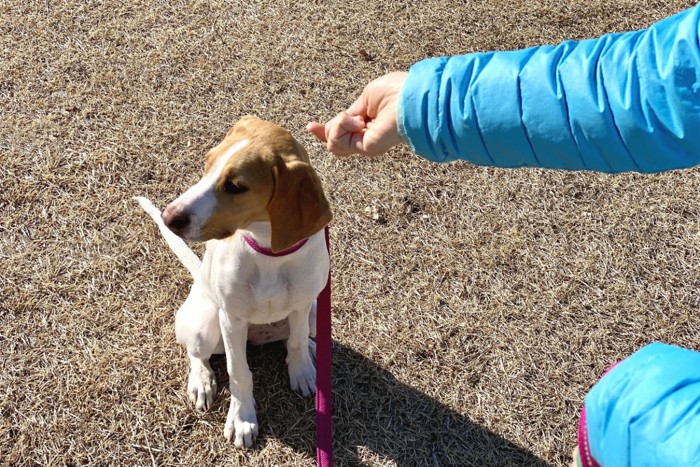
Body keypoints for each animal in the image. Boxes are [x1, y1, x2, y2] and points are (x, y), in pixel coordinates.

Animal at [139, 115, 334, 448]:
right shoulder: (232, 318)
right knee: (197, 355)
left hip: (314, 313)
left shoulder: (301, 305)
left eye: (236, 186)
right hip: (204, 324)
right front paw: (242, 419)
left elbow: (294, 342)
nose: (168, 217)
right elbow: (239, 372)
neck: (267, 251)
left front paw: (302, 371)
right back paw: (202, 382)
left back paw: (309, 351)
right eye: (207, 163)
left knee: (296, 337)